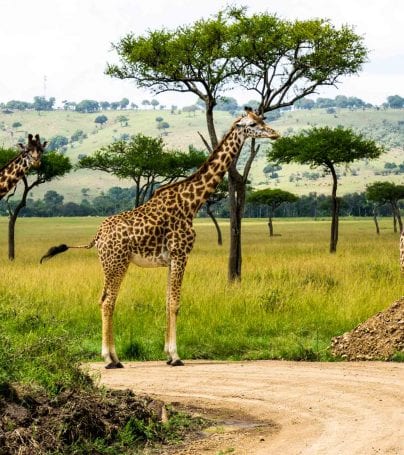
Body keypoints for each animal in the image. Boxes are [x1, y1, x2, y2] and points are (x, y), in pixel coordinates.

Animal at [41, 108, 280, 368]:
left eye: (262, 120)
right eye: (252, 124)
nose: (275, 133)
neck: (192, 203)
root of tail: (98, 235)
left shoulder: (170, 259)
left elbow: (167, 302)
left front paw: (167, 354)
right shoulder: (181, 253)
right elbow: (175, 303)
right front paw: (175, 356)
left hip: (109, 264)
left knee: (103, 299)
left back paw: (115, 357)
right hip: (116, 262)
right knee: (107, 301)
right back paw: (110, 358)